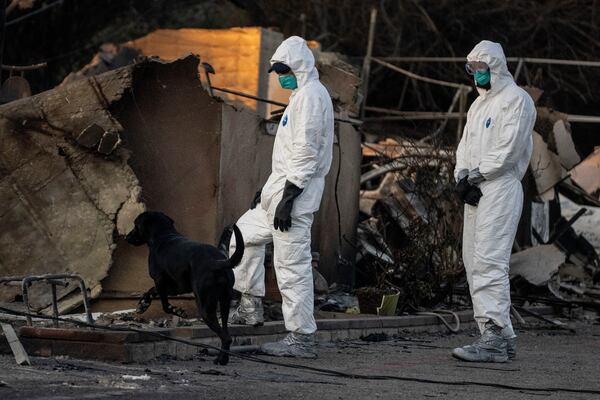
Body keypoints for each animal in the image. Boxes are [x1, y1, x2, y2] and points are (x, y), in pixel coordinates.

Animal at [126, 212, 244, 366]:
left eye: (135, 225)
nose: (126, 237)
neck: (164, 235)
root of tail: (218, 262)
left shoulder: (160, 280)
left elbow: (164, 305)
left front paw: (177, 311)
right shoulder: (176, 287)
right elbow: (152, 290)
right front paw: (143, 305)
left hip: (205, 308)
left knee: (226, 337)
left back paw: (221, 360)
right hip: (224, 304)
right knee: (227, 333)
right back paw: (222, 359)